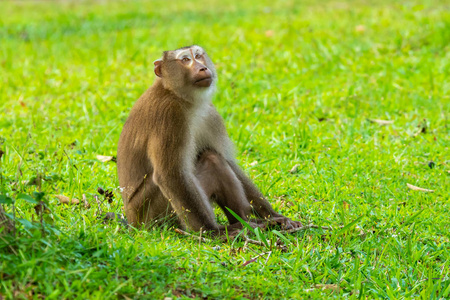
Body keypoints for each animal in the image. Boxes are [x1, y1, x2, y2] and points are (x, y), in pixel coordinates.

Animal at [117, 45, 302, 234]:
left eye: (198, 56)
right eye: (185, 60)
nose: (202, 68)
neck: (180, 97)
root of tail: (132, 222)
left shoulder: (210, 115)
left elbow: (229, 162)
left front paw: (274, 216)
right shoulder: (169, 115)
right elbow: (171, 175)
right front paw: (213, 232)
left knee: (214, 159)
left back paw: (248, 222)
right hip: (153, 216)